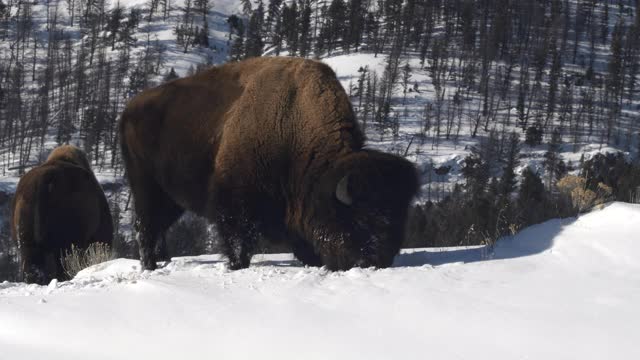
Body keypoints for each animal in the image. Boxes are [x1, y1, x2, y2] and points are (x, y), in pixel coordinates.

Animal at [121, 56, 420, 270]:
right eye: (362, 218)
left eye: (401, 214)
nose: (380, 260)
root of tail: (130, 108)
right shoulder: (235, 207)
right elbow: (239, 244)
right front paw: (236, 267)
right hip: (145, 187)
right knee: (145, 227)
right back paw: (150, 267)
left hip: (172, 199)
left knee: (159, 226)